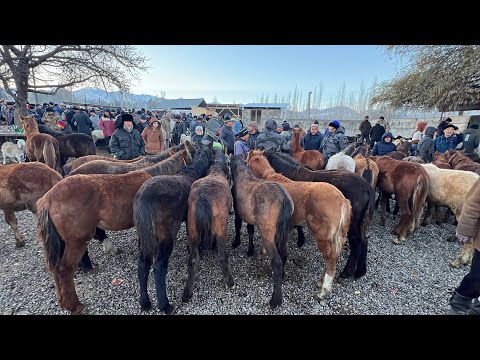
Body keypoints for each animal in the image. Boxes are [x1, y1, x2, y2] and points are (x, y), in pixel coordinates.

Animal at [182, 147, 234, 304]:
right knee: (221, 256)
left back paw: (187, 292)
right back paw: (229, 281)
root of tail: (204, 197)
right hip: (221, 230)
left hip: (192, 232)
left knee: (193, 259)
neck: (216, 170)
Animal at [229, 155, 292, 310]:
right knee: (284, 254)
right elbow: (250, 231)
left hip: (268, 234)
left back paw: (275, 300)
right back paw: (281, 277)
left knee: (277, 260)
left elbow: (238, 226)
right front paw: (250, 250)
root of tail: (283, 199)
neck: (243, 174)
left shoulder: (239, 213)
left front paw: (236, 242)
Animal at [246, 150, 350, 300]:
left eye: (247, 162)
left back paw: (323, 290)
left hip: (323, 237)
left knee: (330, 259)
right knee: (334, 257)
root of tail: (342, 201)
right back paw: (320, 282)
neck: (270, 178)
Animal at [262, 151, 376, 282]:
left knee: (356, 242)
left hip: (353, 223)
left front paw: (300, 240)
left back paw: (347, 272)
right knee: (364, 241)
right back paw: (360, 271)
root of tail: (368, 188)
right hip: (361, 222)